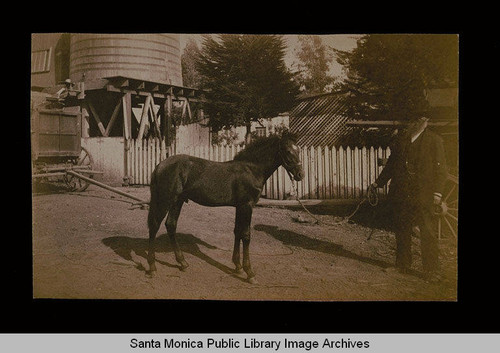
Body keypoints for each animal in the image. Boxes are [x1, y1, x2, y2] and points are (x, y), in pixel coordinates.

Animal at [146, 131, 302, 282]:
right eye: (288, 151)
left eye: (298, 149)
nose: (300, 175)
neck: (251, 169)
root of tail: (159, 166)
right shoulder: (247, 206)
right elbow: (246, 235)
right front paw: (249, 272)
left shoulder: (240, 206)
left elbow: (237, 232)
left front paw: (238, 266)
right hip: (166, 200)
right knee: (154, 225)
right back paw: (152, 267)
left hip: (177, 200)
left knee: (171, 225)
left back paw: (182, 263)